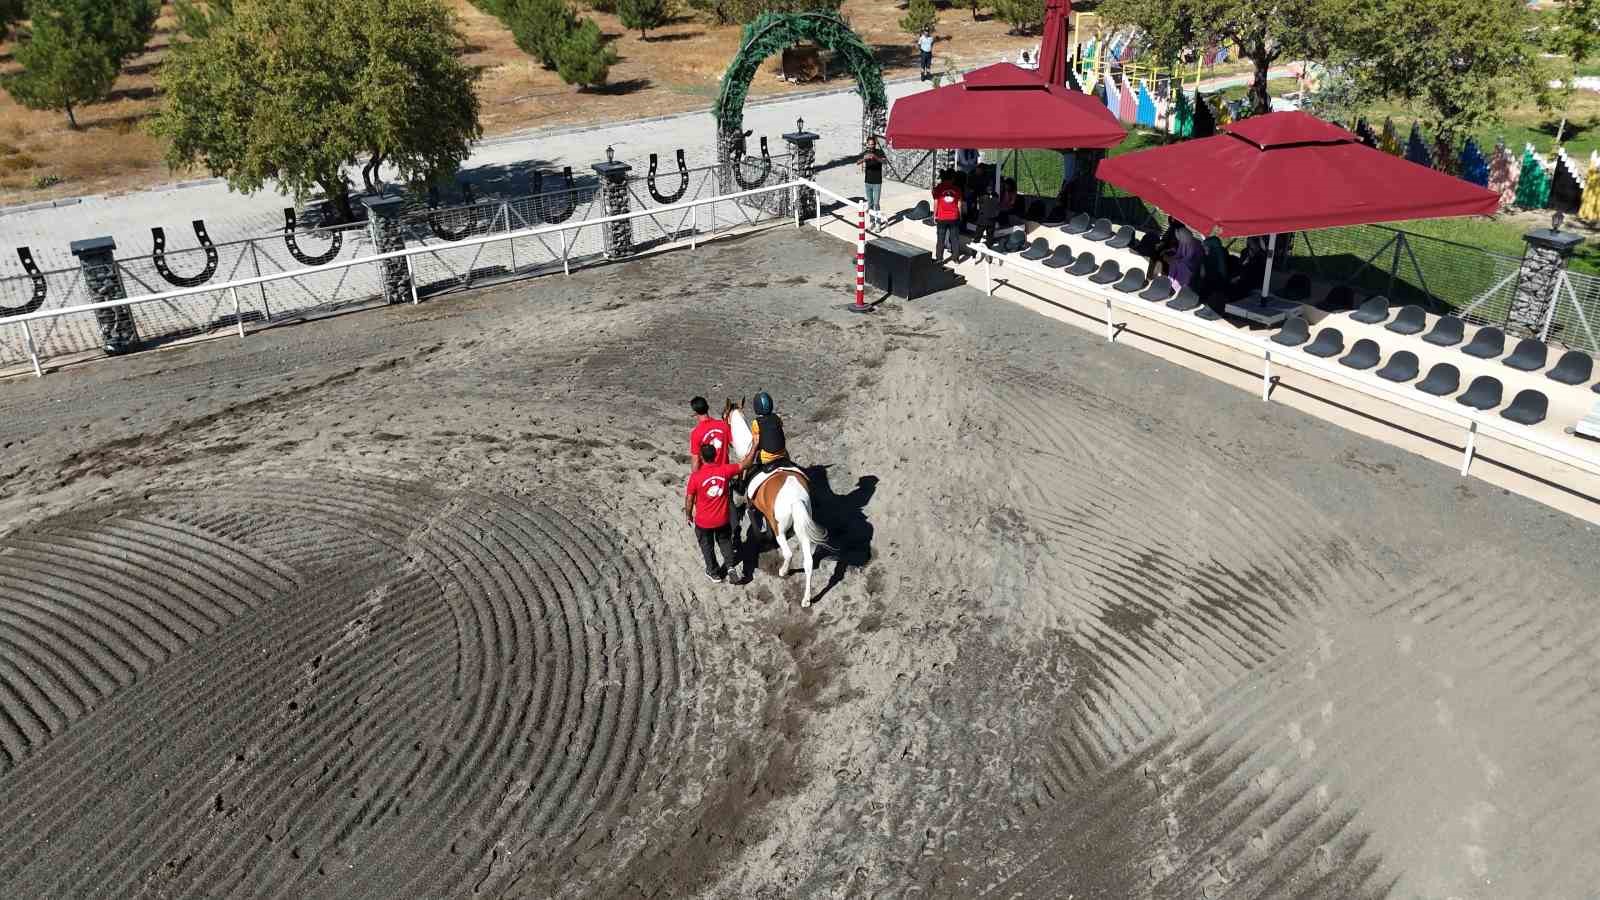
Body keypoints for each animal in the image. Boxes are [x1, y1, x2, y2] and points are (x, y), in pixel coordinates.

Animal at [726, 397, 825, 602]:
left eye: (724, 418)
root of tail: (795, 499)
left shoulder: (751, 507)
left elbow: (756, 526)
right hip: (802, 528)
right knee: (808, 562)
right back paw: (806, 599)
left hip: (782, 528)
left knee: (788, 553)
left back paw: (783, 571)